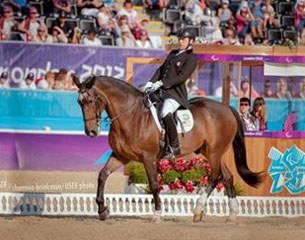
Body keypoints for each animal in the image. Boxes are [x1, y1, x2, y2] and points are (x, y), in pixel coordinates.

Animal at [72, 74, 262, 221]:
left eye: (90, 100)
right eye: (79, 102)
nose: (91, 132)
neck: (131, 116)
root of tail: (227, 108)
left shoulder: (148, 157)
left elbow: (154, 184)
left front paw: (157, 214)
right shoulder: (121, 156)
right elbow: (102, 175)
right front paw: (102, 211)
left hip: (215, 152)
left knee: (216, 176)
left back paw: (198, 210)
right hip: (211, 152)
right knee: (227, 176)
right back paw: (232, 215)